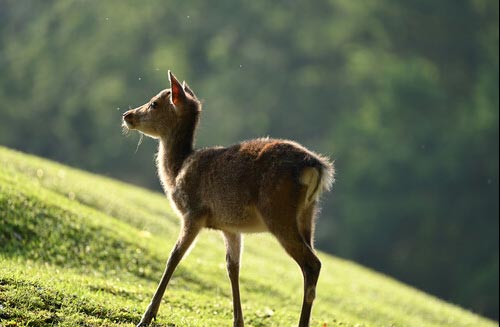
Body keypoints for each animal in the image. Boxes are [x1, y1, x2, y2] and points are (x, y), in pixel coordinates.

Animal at [121, 72, 334, 327]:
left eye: (154, 103)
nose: (127, 115)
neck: (176, 173)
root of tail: (316, 166)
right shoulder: (230, 226)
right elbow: (233, 268)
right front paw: (238, 321)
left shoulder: (194, 213)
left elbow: (174, 257)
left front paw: (146, 317)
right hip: (308, 215)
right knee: (310, 263)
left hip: (277, 212)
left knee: (312, 264)